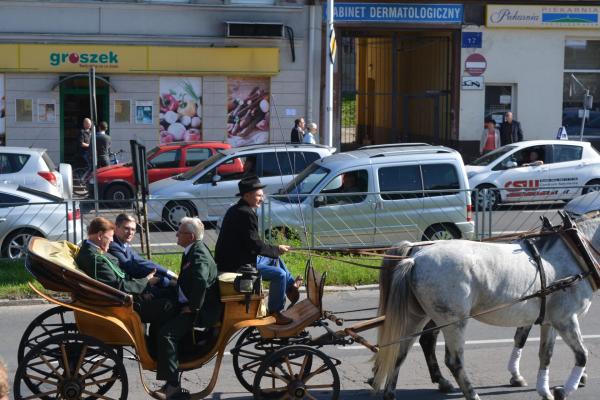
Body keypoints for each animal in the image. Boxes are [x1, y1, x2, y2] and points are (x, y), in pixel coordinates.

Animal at [372, 217, 596, 398]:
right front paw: (564, 389)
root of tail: (414, 257)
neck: (574, 251)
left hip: (418, 315)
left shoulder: (549, 320)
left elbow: (545, 354)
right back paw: (470, 393)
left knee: (401, 349)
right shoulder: (565, 319)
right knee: (453, 360)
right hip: (453, 321)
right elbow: (582, 354)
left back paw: (392, 392)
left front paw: (544, 390)